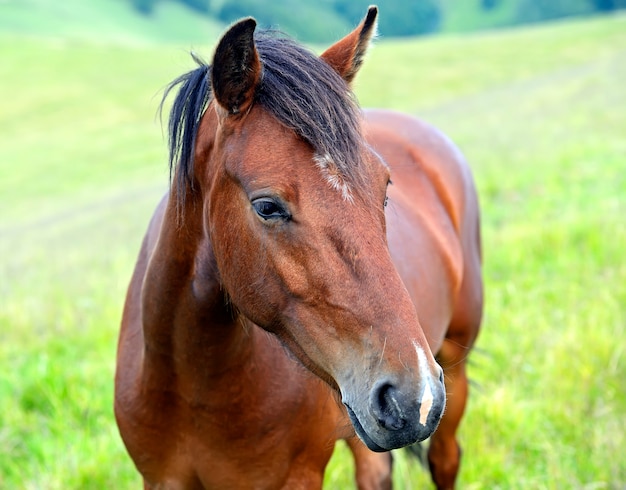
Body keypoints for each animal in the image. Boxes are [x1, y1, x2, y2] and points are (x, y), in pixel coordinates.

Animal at [113, 7, 482, 490]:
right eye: (267, 206)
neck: (192, 387)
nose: (412, 396)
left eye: (384, 188)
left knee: (445, 459)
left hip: (454, 366)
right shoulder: (160, 478)